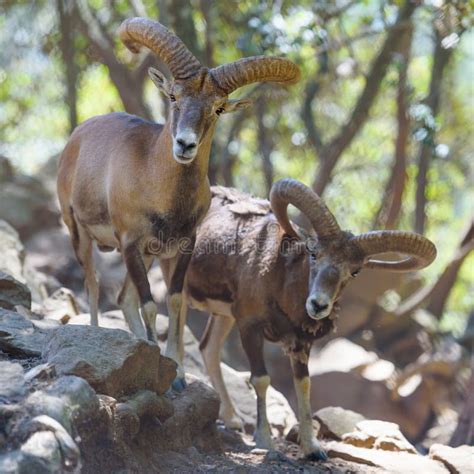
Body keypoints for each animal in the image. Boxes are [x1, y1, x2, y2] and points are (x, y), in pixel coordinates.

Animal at [56, 17, 300, 388]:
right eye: (174, 95)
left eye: (217, 108)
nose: (185, 145)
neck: (154, 179)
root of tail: (76, 138)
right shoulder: (130, 243)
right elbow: (150, 304)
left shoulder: (181, 246)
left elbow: (173, 302)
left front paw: (179, 374)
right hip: (80, 233)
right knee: (93, 285)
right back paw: (97, 334)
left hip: (146, 255)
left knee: (122, 298)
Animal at [175, 179, 436, 460]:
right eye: (314, 254)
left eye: (354, 271)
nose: (318, 305)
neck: (277, 278)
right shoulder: (249, 327)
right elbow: (261, 379)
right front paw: (265, 441)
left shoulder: (301, 343)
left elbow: (304, 385)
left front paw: (313, 449)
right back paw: (177, 379)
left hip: (222, 315)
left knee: (208, 348)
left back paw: (232, 419)